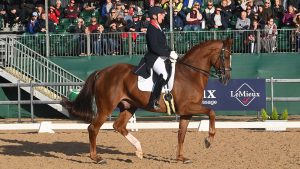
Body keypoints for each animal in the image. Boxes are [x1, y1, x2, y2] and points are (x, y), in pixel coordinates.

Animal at [62, 38, 233, 164]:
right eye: (226, 56)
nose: (226, 79)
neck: (190, 74)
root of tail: (102, 72)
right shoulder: (188, 107)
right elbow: (211, 112)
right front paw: (209, 140)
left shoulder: (186, 112)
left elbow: (181, 134)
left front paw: (181, 158)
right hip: (106, 108)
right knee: (93, 128)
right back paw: (96, 158)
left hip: (129, 106)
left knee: (118, 126)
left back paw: (138, 150)